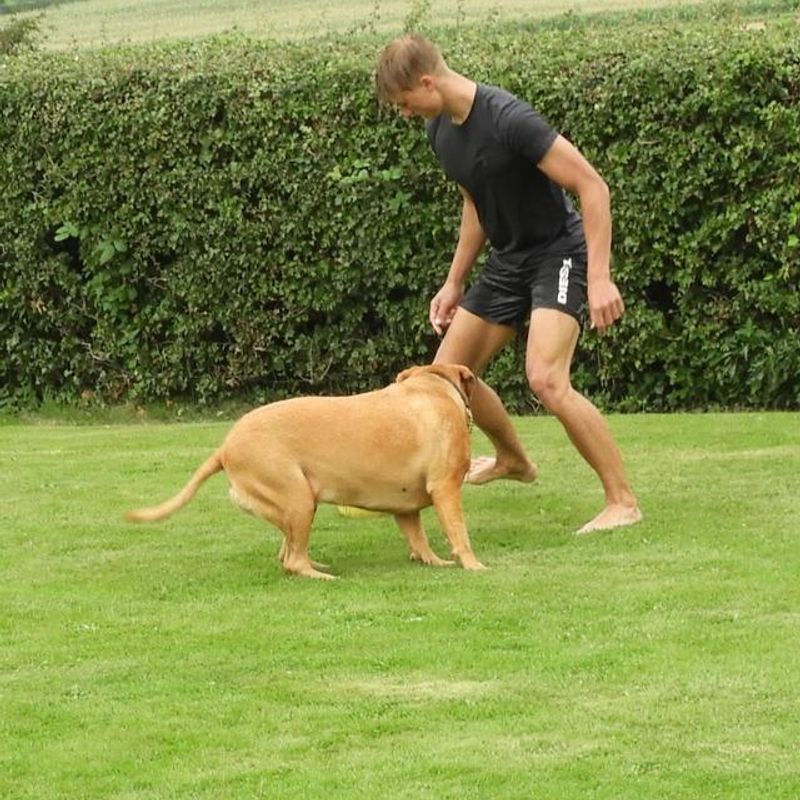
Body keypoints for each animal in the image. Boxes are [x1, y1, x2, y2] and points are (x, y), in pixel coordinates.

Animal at [128, 364, 484, 580]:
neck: (433, 386)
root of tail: (225, 447)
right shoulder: (446, 488)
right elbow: (459, 532)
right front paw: (473, 564)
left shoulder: (405, 506)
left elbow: (418, 538)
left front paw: (433, 560)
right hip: (297, 498)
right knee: (292, 561)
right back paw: (320, 574)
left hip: (294, 505)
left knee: (288, 553)